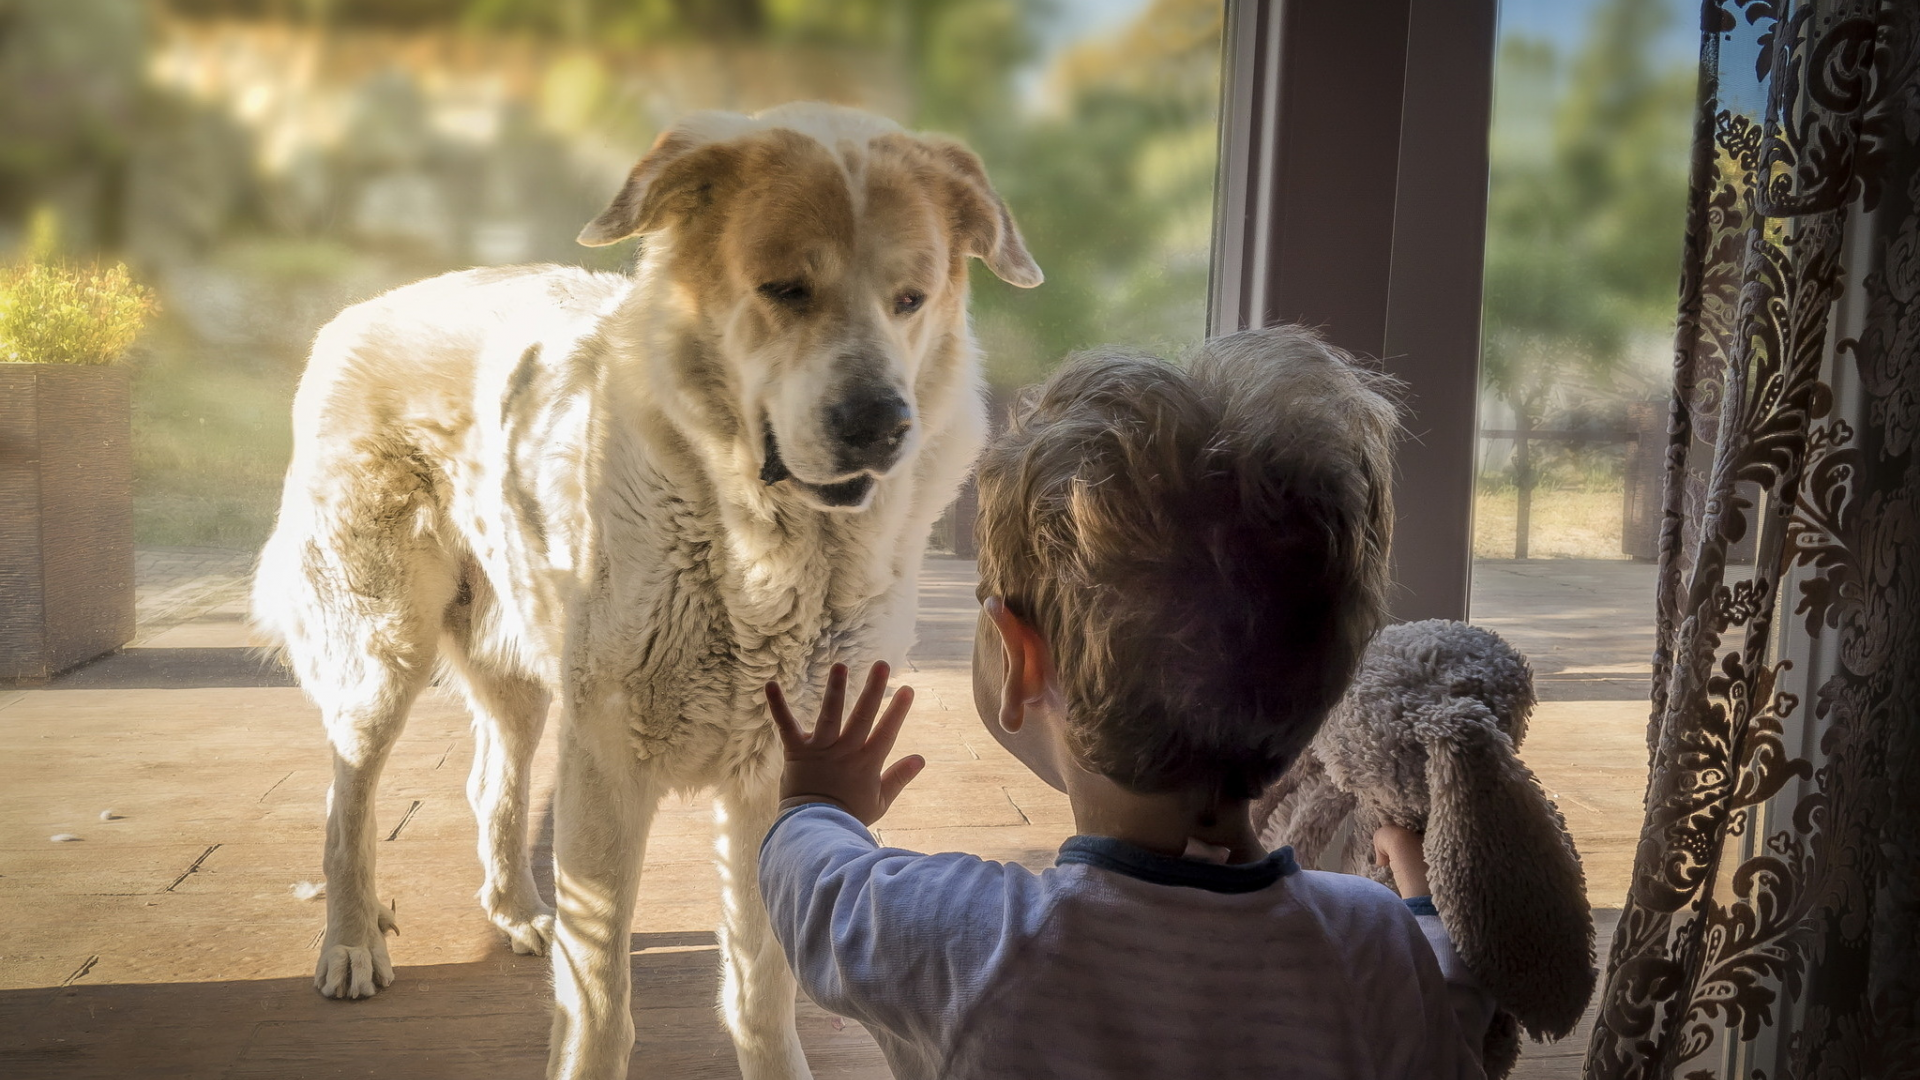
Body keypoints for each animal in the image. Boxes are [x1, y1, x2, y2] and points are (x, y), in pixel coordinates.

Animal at [255, 98, 1044, 1068]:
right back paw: (352, 942)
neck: (759, 543)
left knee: (492, 784)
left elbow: (762, 986)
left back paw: (516, 912)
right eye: (785, 289)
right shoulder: (607, 763)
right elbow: (600, 998)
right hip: (382, 656)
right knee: (347, 804)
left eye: (911, 299)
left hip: (522, 667)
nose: (880, 425)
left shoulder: (772, 771)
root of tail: (357, 313)